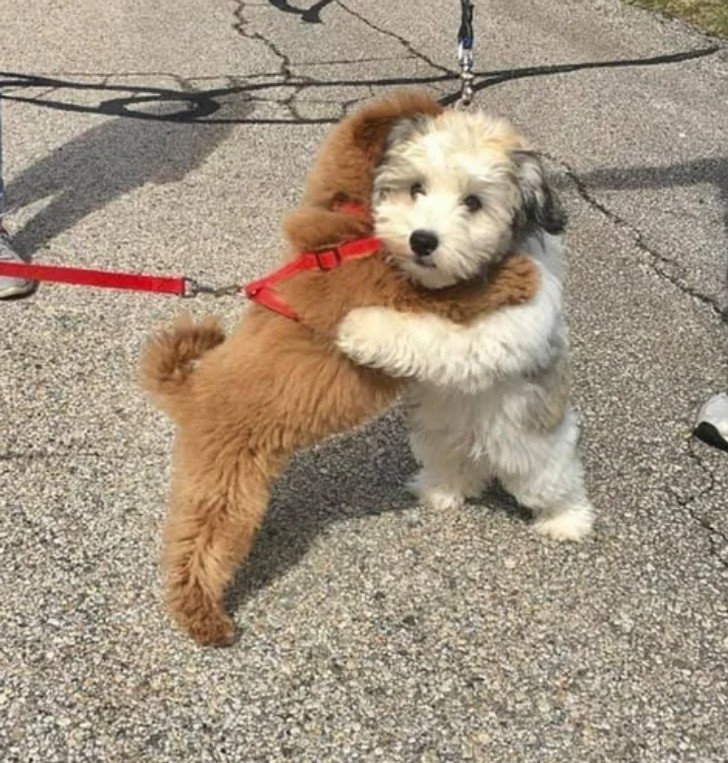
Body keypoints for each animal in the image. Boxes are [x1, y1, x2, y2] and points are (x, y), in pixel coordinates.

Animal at [141, 92, 540, 648]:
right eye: (419, 186)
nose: (422, 239)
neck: (347, 233)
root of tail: (191, 388)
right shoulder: (401, 293)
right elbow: (460, 291)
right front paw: (515, 274)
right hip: (226, 487)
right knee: (197, 547)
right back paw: (203, 617)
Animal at [338, 107, 596, 544]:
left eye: (473, 202)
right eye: (416, 188)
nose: (422, 240)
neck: (464, 281)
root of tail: (482, 450)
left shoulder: (502, 329)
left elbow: (436, 336)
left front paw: (362, 328)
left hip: (536, 451)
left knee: (555, 483)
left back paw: (567, 520)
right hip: (437, 438)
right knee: (453, 469)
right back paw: (440, 490)